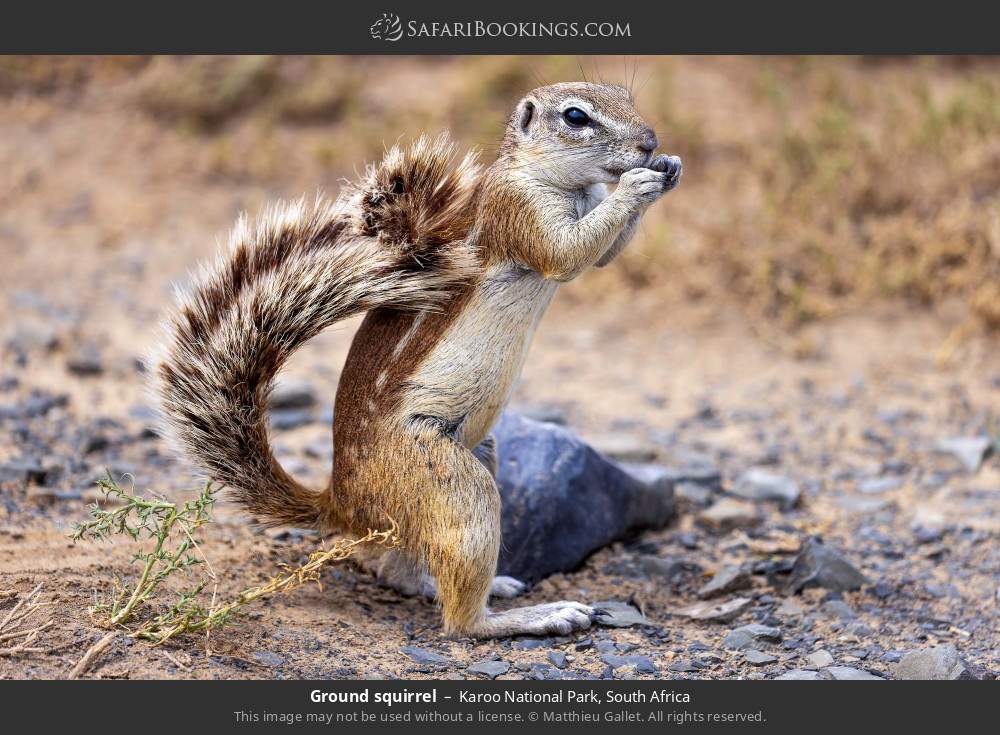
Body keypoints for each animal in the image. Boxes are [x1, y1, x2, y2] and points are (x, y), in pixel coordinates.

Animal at [152, 82, 682, 639]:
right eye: (576, 117)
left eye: (625, 94)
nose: (649, 143)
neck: (559, 182)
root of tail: (343, 504)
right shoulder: (518, 211)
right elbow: (568, 253)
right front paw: (637, 184)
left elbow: (603, 254)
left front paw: (668, 168)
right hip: (451, 481)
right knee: (460, 618)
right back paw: (527, 615)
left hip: (477, 454)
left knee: (403, 564)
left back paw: (469, 584)